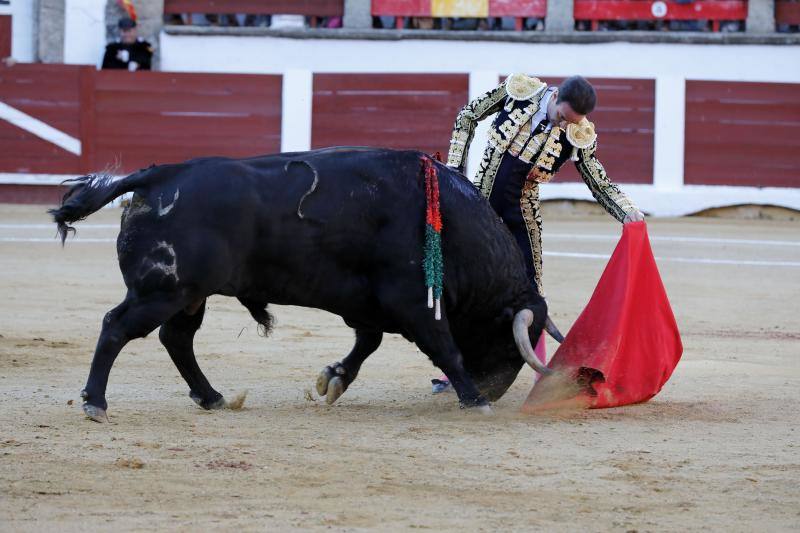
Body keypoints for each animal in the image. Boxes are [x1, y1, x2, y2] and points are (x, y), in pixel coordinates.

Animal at [50, 147, 556, 420]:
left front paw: (334, 379)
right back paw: (96, 402)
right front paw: (474, 400)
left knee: (177, 339)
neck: (451, 225)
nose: (494, 389)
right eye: (510, 343)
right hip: (161, 292)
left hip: (189, 296)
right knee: (117, 327)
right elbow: (445, 347)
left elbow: (367, 343)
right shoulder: (412, 300)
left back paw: (212, 397)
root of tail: (159, 174)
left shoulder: (370, 304)